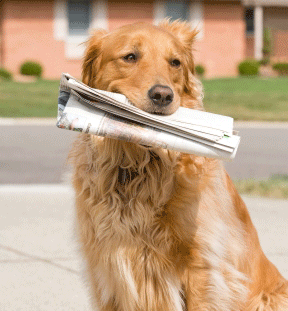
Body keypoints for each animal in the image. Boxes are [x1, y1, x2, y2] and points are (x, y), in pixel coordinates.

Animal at [70, 20, 288, 310]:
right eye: (130, 56)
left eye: (175, 62)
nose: (163, 95)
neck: (141, 167)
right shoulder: (104, 267)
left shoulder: (202, 265)